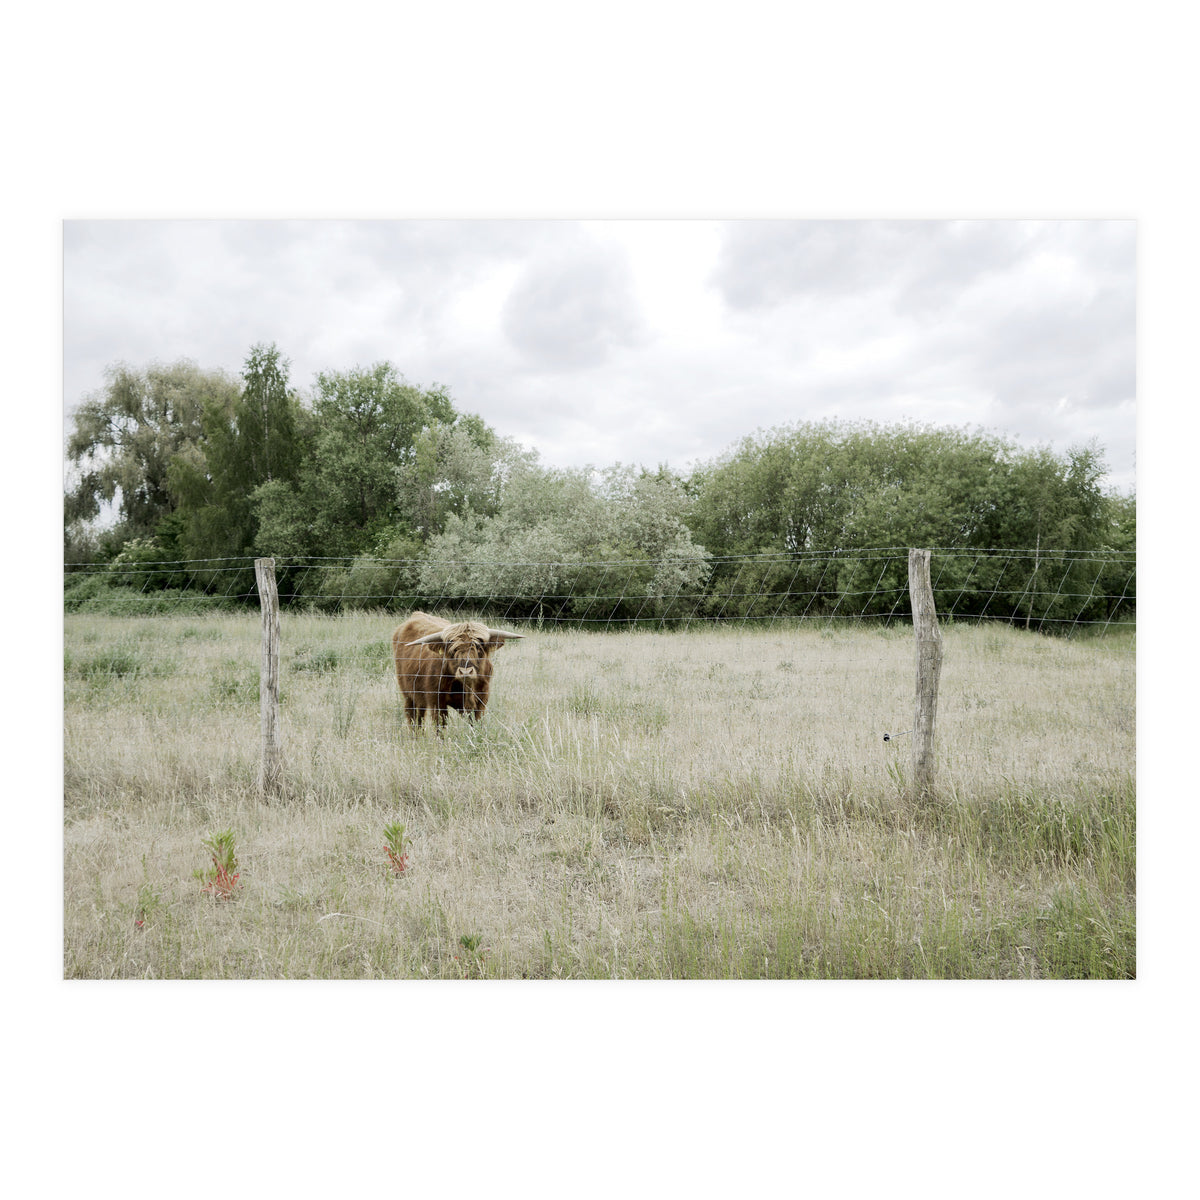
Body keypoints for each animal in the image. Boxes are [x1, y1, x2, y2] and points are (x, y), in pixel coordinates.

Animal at [391, 611, 526, 730]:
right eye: (454, 649)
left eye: (479, 647)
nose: (466, 672)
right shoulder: (437, 702)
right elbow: (440, 728)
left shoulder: (481, 701)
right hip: (408, 694)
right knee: (413, 717)